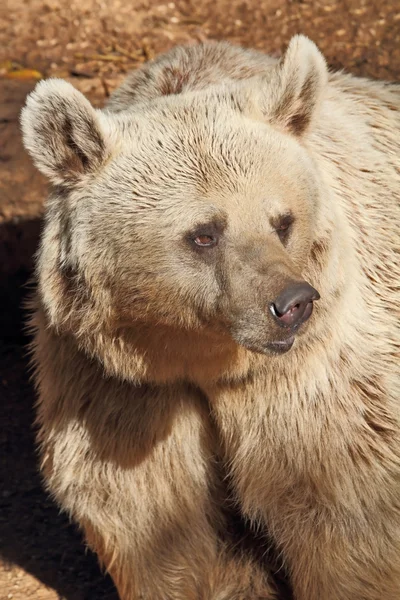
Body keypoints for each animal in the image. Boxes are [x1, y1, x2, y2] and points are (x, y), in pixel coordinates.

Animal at [21, 34, 400, 600]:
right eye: (204, 234)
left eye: (282, 220)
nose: (292, 304)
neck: (199, 356)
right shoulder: (117, 384)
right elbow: (154, 518)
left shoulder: (317, 384)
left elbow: (345, 520)